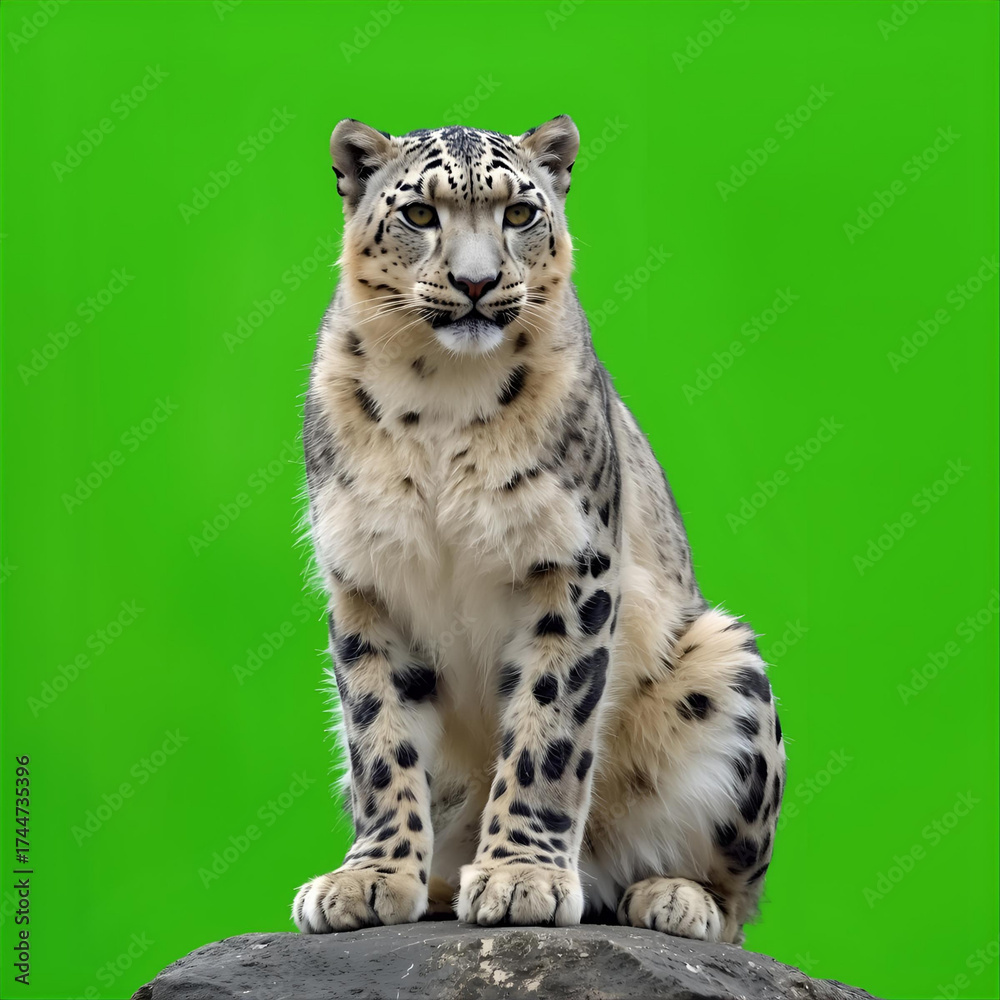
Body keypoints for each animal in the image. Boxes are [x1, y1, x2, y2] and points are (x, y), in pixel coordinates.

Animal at [291, 115, 786, 944]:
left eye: (520, 212)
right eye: (418, 213)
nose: (476, 282)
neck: (441, 396)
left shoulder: (571, 568)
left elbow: (547, 728)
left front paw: (521, 877)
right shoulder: (364, 579)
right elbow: (379, 736)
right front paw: (370, 880)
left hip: (725, 669)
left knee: (735, 897)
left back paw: (670, 897)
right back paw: (442, 881)